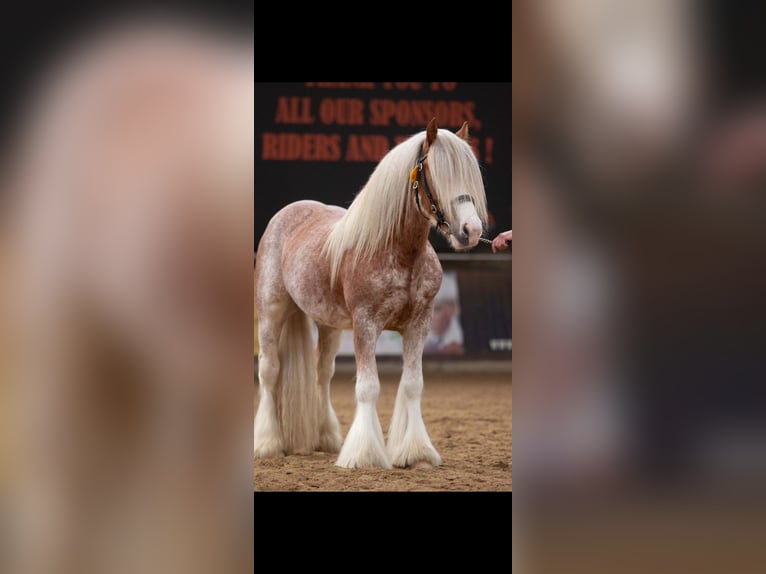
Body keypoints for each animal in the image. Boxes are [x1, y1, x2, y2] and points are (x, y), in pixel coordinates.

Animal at [255, 119, 488, 470]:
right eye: (437, 173)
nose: (471, 231)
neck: (399, 253)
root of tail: (287, 215)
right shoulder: (366, 325)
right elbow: (367, 387)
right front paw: (364, 455)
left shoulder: (419, 325)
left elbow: (412, 385)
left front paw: (416, 452)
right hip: (272, 313)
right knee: (269, 372)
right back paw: (267, 443)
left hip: (328, 326)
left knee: (322, 373)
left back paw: (326, 438)